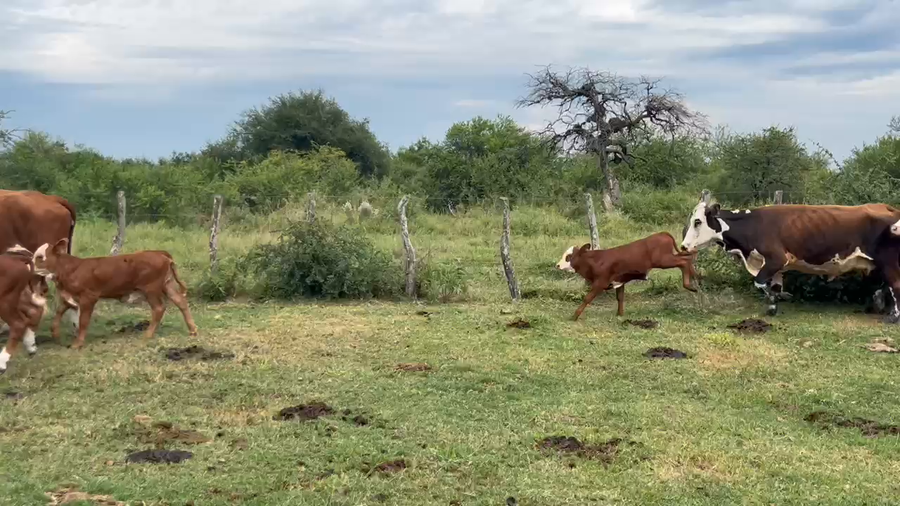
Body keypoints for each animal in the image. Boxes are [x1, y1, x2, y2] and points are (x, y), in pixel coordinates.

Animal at [31, 238, 198, 349]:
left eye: (40, 257)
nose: (29, 265)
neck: (71, 269)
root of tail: (159, 253)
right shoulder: (71, 296)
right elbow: (59, 311)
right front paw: (55, 333)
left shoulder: (89, 297)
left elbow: (83, 320)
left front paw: (77, 343)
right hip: (167, 285)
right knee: (180, 301)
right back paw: (192, 329)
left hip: (151, 289)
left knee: (158, 308)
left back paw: (147, 335)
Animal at [556, 232, 699, 320]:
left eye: (569, 257)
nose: (557, 265)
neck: (596, 260)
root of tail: (662, 233)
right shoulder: (619, 282)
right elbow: (620, 298)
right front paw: (620, 315)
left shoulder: (600, 282)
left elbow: (587, 298)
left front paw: (574, 316)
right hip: (667, 258)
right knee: (686, 258)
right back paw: (695, 277)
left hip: (664, 260)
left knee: (684, 261)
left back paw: (689, 284)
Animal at [680, 195, 900, 321]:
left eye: (697, 221)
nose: (683, 246)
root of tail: (889, 208)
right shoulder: (778, 266)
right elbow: (774, 286)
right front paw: (772, 307)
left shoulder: (776, 259)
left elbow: (760, 283)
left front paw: (775, 301)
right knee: (883, 286)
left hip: (889, 262)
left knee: (895, 286)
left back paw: (893, 317)